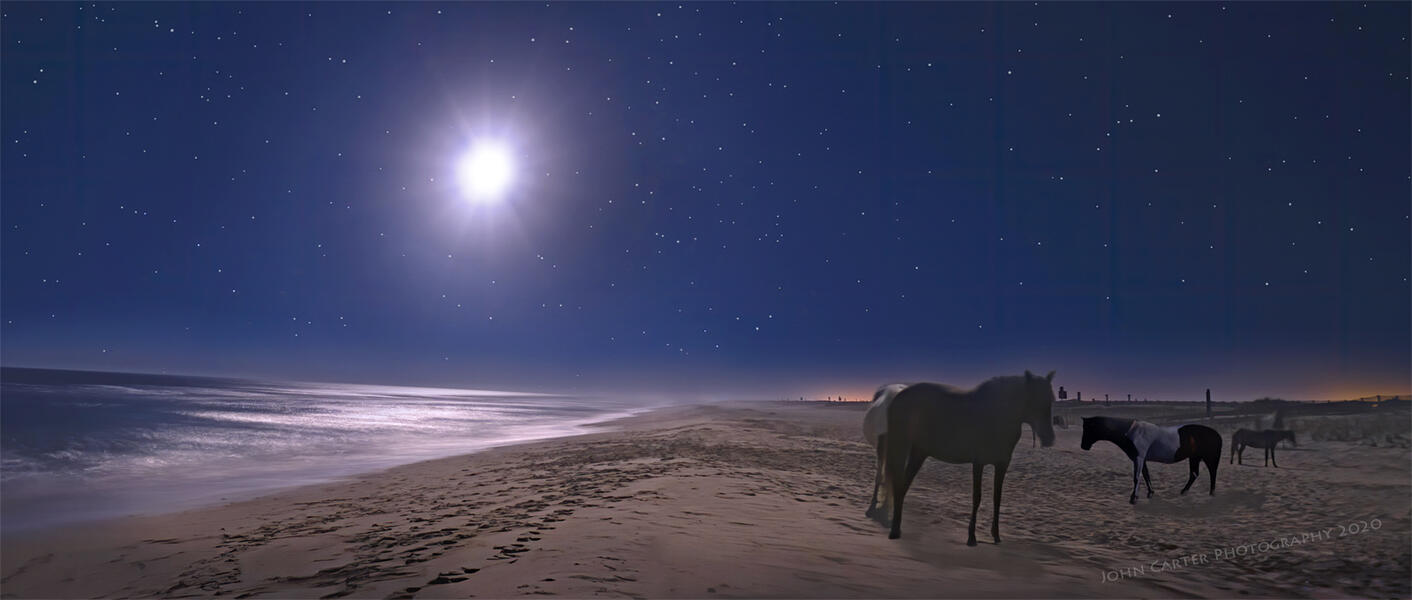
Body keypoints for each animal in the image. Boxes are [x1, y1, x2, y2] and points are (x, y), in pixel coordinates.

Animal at [881, 367, 1050, 544]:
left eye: (1051, 400)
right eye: (1033, 399)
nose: (1049, 437)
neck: (996, 415)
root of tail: (898, 396)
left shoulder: (1002, 464)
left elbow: (997, 498)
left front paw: (996, 535)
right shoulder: (979, 463)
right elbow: (977, 497)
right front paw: (971, 537)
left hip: (918, 453)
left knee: (902, 486)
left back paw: (896, 528)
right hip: (900, 447)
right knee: (898, 484)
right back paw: (894, 530)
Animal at [1078, 415, 1225, 499]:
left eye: (1089, 429)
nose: (1083, 446)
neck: (1132, 432)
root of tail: (1216, 434)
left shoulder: (1139, 458)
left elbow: (1137, 477)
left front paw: (1134, 497)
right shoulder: (1141, 459)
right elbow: (1146, 475)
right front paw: (1150, 492)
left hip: (1208, 458)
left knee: (1212, 473)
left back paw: (1211, 494)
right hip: (1194, 457)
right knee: (1194, 474)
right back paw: (1183, 492)